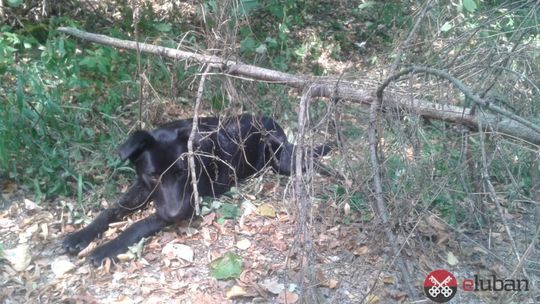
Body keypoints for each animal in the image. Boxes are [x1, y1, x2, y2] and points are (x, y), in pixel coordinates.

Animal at [63, 114, 334, 266]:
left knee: (308, 159)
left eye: (182, 172)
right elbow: (110, 211)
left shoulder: (189, 202)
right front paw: (80, 236)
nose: (175, 215)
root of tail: (271, 120)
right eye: (154, 175)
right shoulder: (142, 188)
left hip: (282, 161)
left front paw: (106, 248)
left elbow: (138, 224)